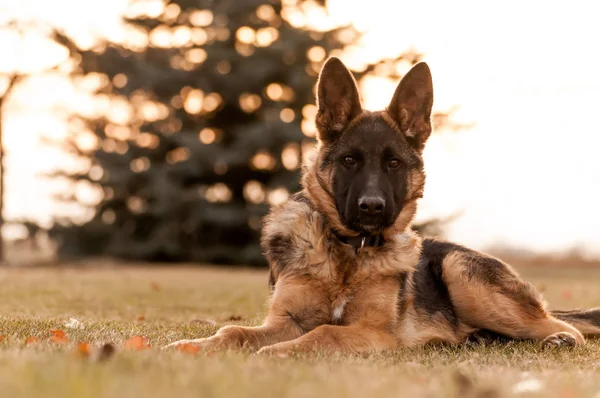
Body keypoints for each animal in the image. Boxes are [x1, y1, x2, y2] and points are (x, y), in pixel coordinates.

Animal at [166, 56, 600, 354]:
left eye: (393, 163)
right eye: (350, 160)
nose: (372, 208)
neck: (348, 252)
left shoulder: (373, 332)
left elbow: (324, 332)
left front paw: (276, 353)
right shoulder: (285, 318)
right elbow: (233, 331)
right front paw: (195, 347)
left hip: (460, 271)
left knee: (564, 327)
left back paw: (557, 340)